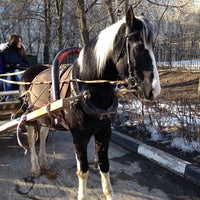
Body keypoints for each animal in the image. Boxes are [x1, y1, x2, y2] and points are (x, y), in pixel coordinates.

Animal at [19, 7, 161, 200]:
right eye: (138, 46)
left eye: (153, 46)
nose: (154, 90)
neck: (88, 89)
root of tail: (33, 71)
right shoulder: (79, 136)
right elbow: (83, 170)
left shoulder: (104, 132)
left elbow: (105, 165)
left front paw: (109, 194)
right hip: (31, 115)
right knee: (32, 138)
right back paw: (35, 167)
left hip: (45, 115)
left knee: (43, 132)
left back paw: (44, 162)